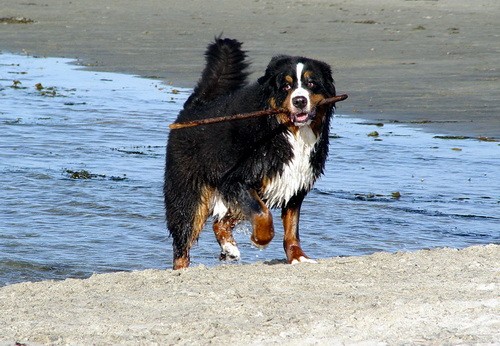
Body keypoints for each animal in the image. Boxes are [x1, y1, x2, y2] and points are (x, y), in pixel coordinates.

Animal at [164, 38, 336, 270]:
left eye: (311, 83)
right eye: (286, 86)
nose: (299, 100)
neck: (287, 132)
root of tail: (196, 106)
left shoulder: (295, 184)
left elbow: (291, 229)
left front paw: (298, 256)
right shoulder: (236, 179)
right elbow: (263, 214)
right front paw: (260, 238)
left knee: (220, 222)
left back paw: (229, 248)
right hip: (189, 197)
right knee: (183, 242)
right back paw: (182, 269)